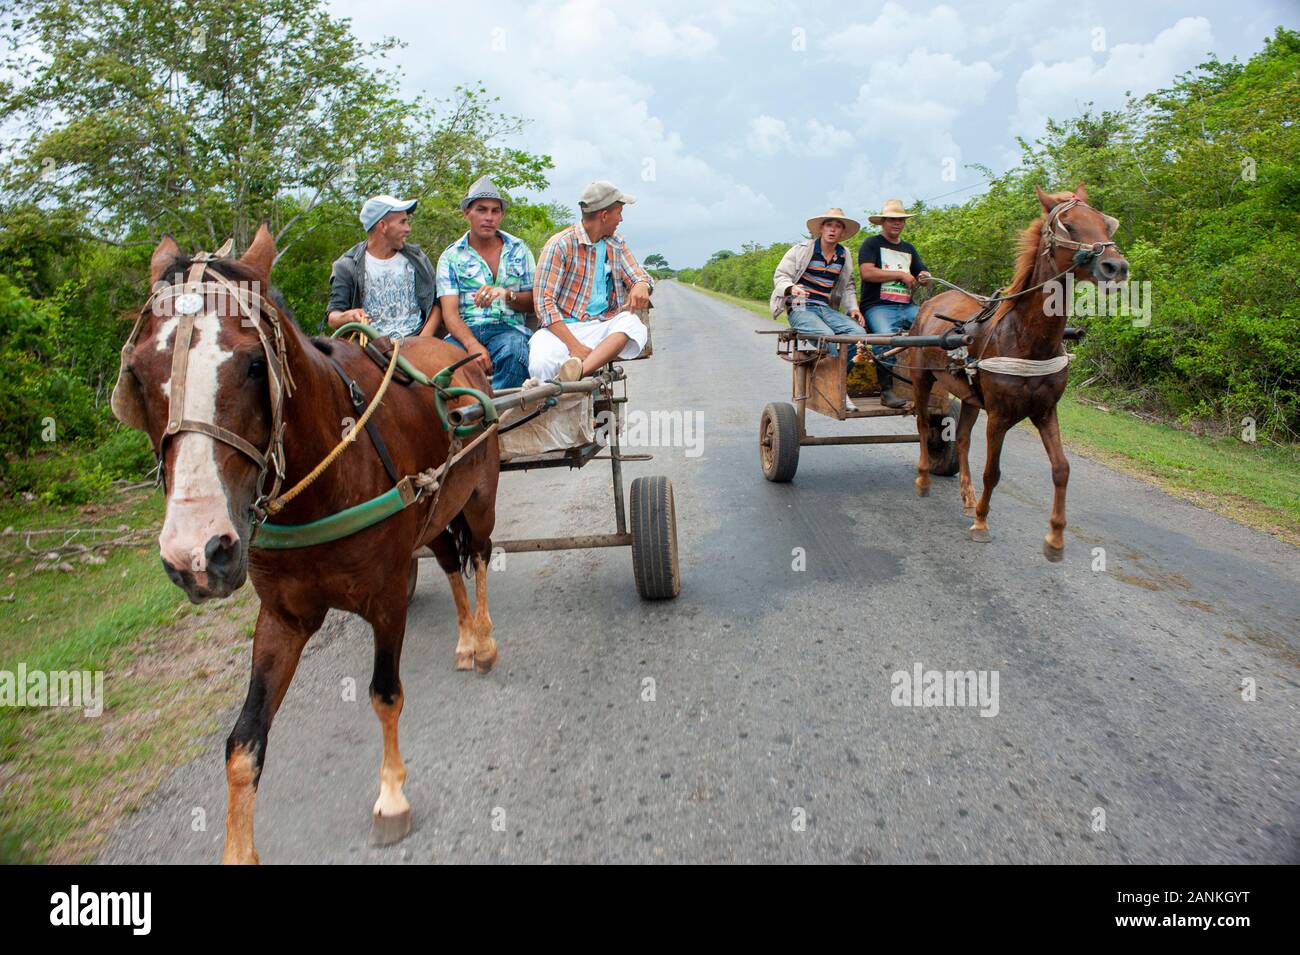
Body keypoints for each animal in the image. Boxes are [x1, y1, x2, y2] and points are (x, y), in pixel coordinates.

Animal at [111, 226, 499, 867]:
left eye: (252, 365)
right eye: (138, 375)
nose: (198, 556)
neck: (324, 476)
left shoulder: (386, 597)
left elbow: (385, 693)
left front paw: (391, 798)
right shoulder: (283, 617)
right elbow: (243, 742)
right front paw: (238, 849)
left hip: (479, 494)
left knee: (484, 555)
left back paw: (486, 641)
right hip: (434, 509)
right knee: (448, 559)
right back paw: (467, 640)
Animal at [904, 184, 1128, 561]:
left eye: (1105, 223)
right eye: (1068, 225)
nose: (1117, 266)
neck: (1025, 336)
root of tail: (930, 302)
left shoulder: (1046, 411)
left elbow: (1062, 469)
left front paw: (1055, 538)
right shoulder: (999, 415)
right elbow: (992, 472)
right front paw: (981, 523)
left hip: (969, 396)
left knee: (961, 439)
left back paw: (967, 496)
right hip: (923, 378)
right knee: (922, 426)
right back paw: (923, 479)